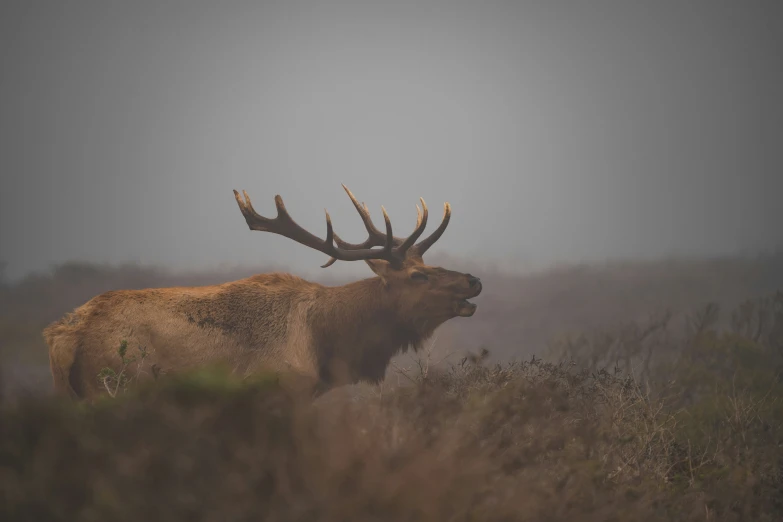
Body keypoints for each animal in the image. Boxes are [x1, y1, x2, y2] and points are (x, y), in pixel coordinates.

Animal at [46, 183, 484, 398]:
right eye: (418, 276)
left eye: (425, 267)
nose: (473, 281)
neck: (327, 342)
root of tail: (67, 334)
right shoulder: (281, 390)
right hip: (116, 385)